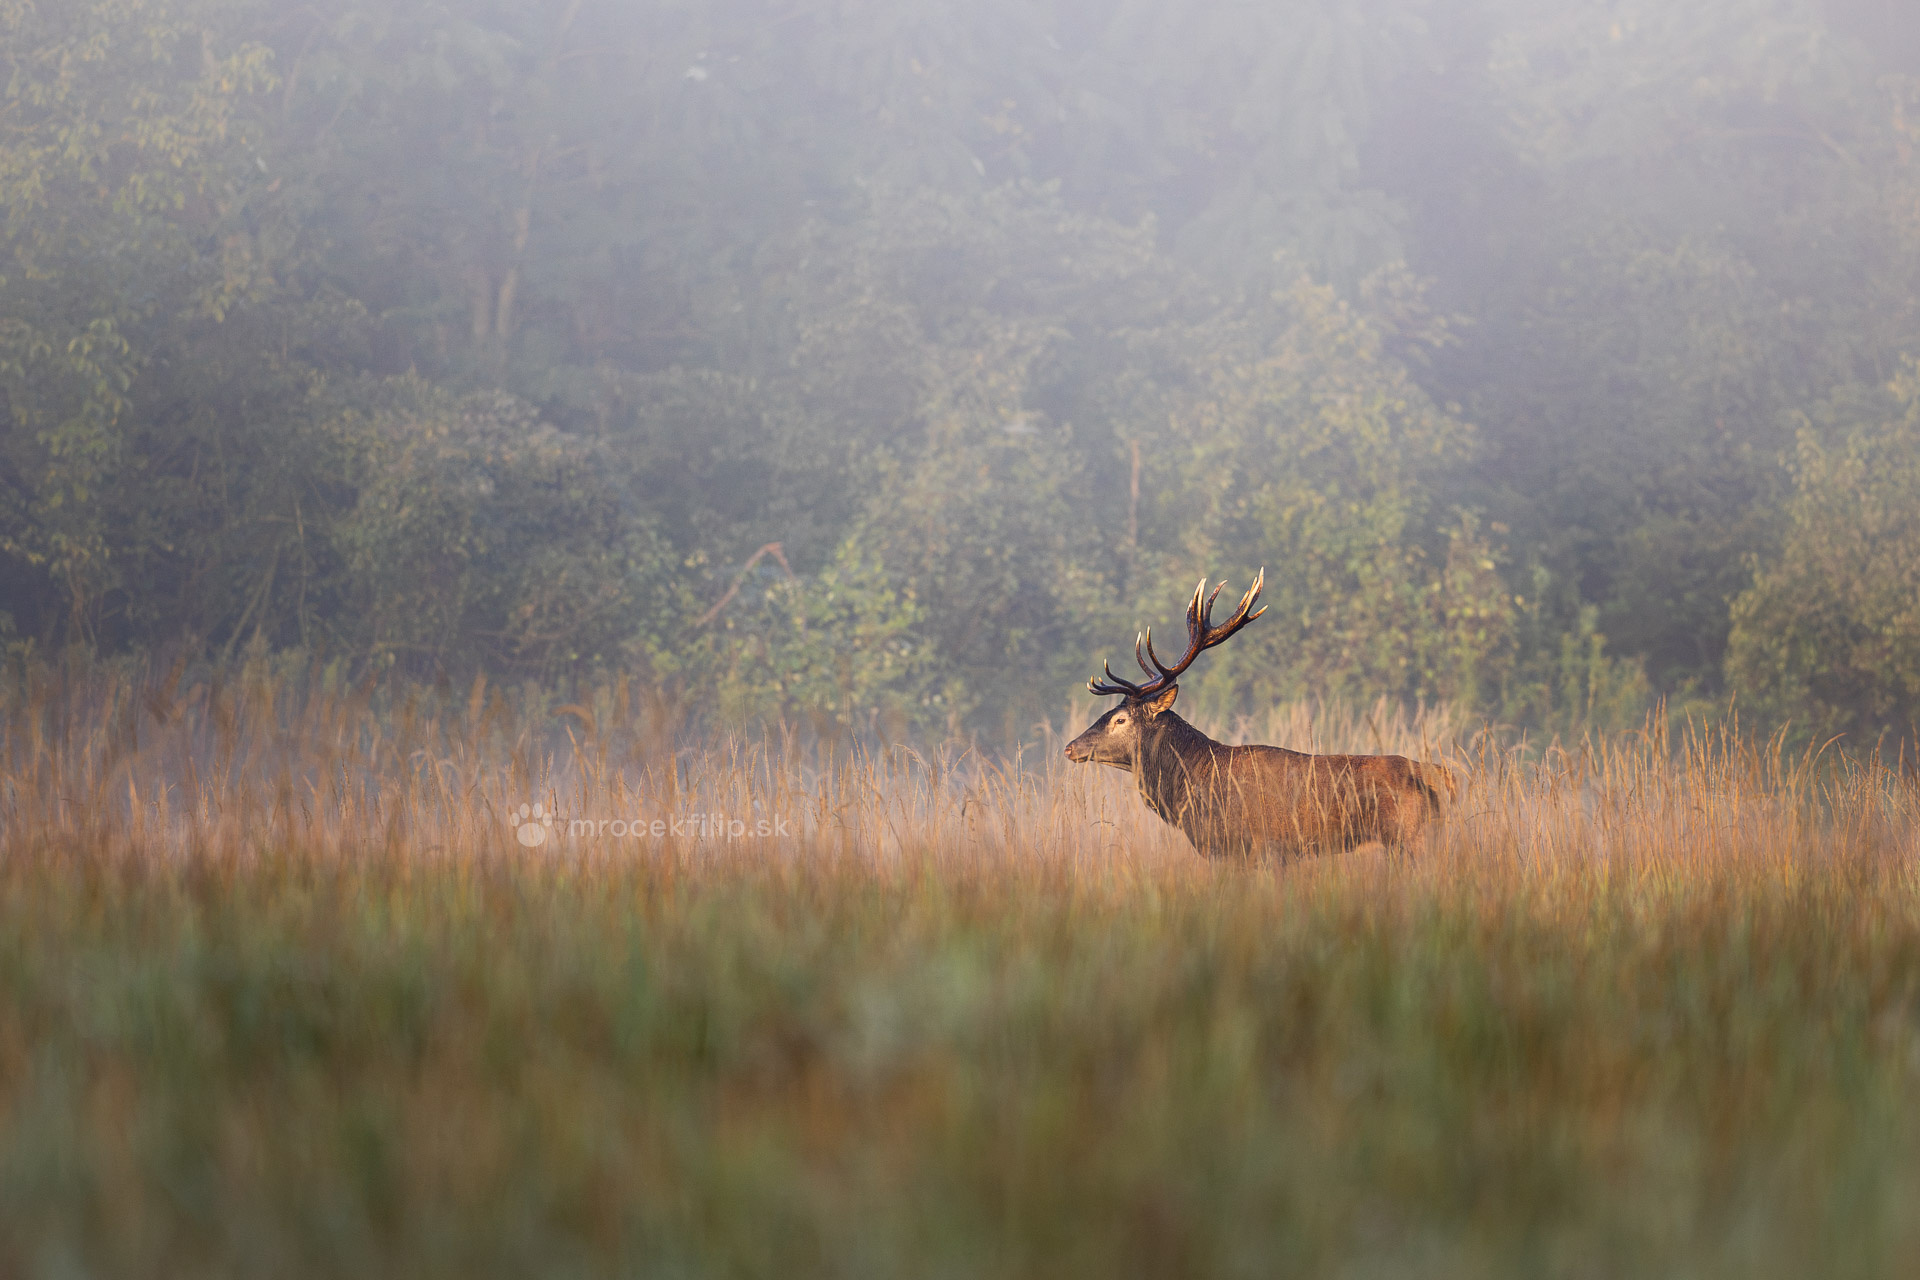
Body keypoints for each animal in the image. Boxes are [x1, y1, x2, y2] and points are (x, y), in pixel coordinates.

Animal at [1064, 571, 1457, 861]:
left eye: (1121, 720)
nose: (1070, 747)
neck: (1190, 786)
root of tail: (1441, 778)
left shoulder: (1251, 848)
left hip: (1413, 838)